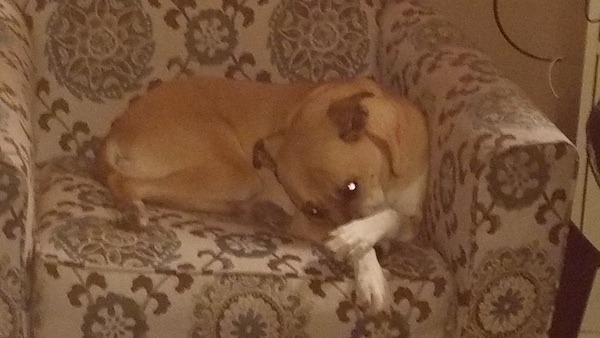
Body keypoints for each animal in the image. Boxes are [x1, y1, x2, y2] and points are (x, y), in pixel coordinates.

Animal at [96, 76, 428, 312]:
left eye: (351, 188)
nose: (384, 251)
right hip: (237, 174)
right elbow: (367, 232)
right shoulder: (306, 224)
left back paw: (259, 212)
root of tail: (116, 130)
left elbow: (393, 215)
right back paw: (133, 208)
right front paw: (367, 268)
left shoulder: (411, 219)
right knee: (128, 182)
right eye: (313, 212)